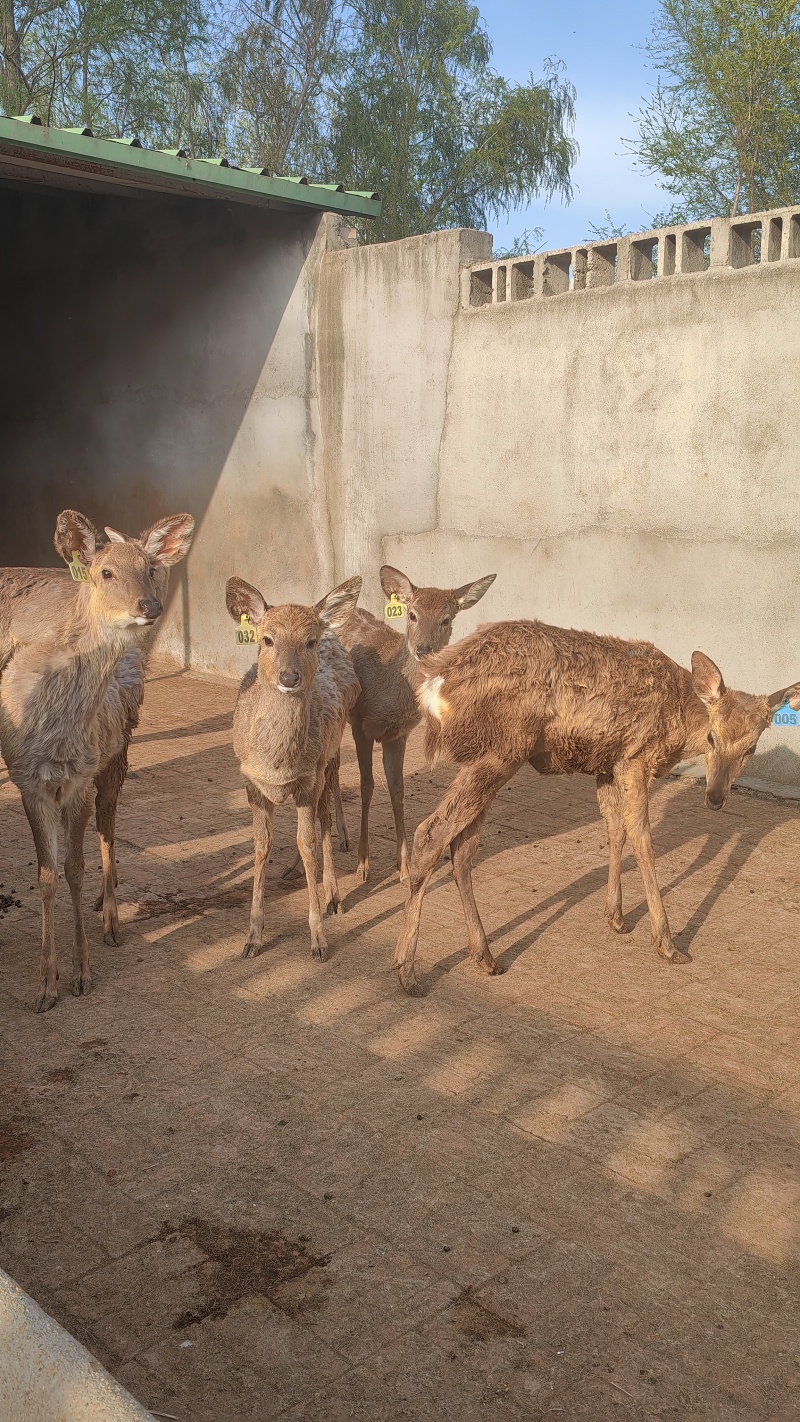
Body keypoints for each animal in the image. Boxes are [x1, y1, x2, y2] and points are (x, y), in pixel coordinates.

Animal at [0, 509, 195, 1010]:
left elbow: (74, 868)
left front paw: (81, 973)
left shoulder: (80, 778)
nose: (149, 606)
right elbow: (47, 874)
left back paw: (110, 918)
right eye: (105, 572)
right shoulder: (28, 780)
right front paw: (45, 985)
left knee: (108, 828)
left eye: (150, 567)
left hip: (117, 755)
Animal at [226, 574, 362, 962]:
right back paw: (294, 872)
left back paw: (333, 893)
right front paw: (252, 939)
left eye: (309, 641)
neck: (277, 765)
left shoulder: (308, 778)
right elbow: (261, 845)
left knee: (325, 820)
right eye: (267, 639)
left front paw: (318, 940)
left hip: (332, 753)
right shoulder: (250, 781)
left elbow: (308, 841)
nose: (289, 677)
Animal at [332, 565, 496, 884]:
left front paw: (404, 867)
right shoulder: (360, 723)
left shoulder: (399, 735)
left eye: (447, 618)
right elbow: (367, 786)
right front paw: (363, 865)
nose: (424, 648)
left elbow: (397, 790)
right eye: (412, 614)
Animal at [392, 618, 800, 995]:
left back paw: (485, 957)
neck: (680, 724)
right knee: (431, 833)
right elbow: (642, 838)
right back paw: (407, 970)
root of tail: (433, 683)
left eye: (751, 748)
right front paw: (667, 943)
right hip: (502, 749)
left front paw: (616, 916)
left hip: (491, 756)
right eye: (713, 737)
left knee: (462, 847)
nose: (715, 798)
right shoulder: (635, 758)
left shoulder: (607, 764)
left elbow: (615, 830)